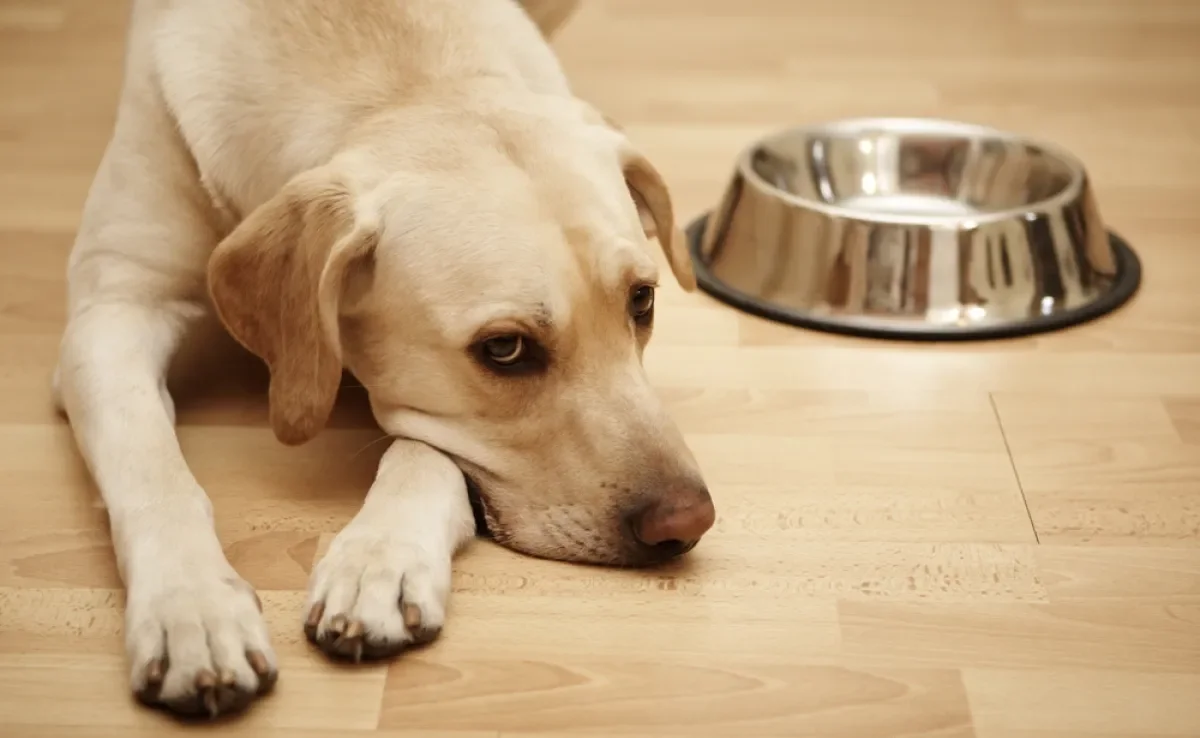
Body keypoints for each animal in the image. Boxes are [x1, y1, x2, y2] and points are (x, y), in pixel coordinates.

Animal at [51, 0, 710, 720]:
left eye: (642, 300)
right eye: (505, 349)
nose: (688, 521)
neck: (399, 78)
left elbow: (423, 451)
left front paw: (380, 561)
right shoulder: (112, 311)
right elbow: (152, 469)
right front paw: (192, 609)